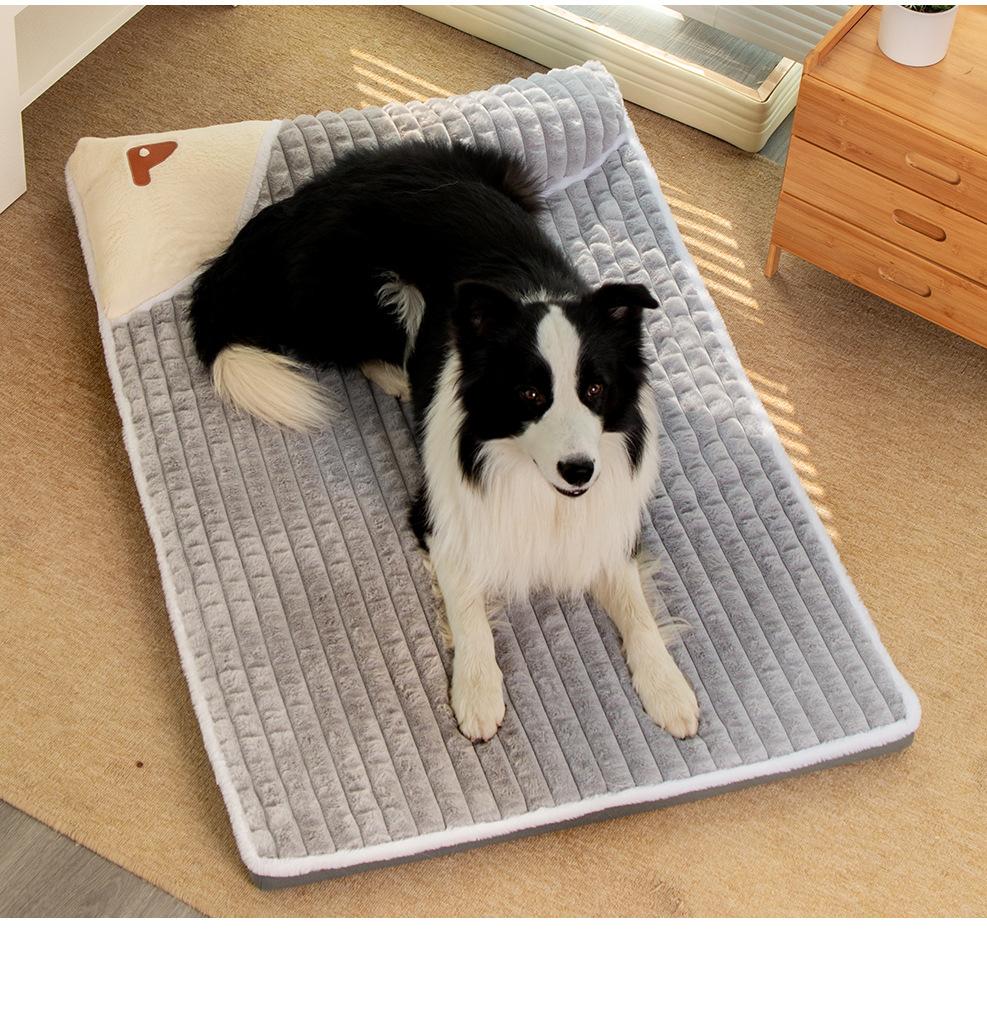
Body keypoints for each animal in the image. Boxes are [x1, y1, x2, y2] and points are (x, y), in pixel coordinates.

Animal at [190, 138, 700, 742]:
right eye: (529, 394)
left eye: (595, 389)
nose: (579, 471)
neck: (537, 487)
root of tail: (300, 200)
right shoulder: (439, 517)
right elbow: (469, 608)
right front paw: (477, 694)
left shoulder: (607, 523)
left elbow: (637, 607)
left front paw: (668, 688)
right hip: (365, 293)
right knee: (347, 347)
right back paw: (397, 377)